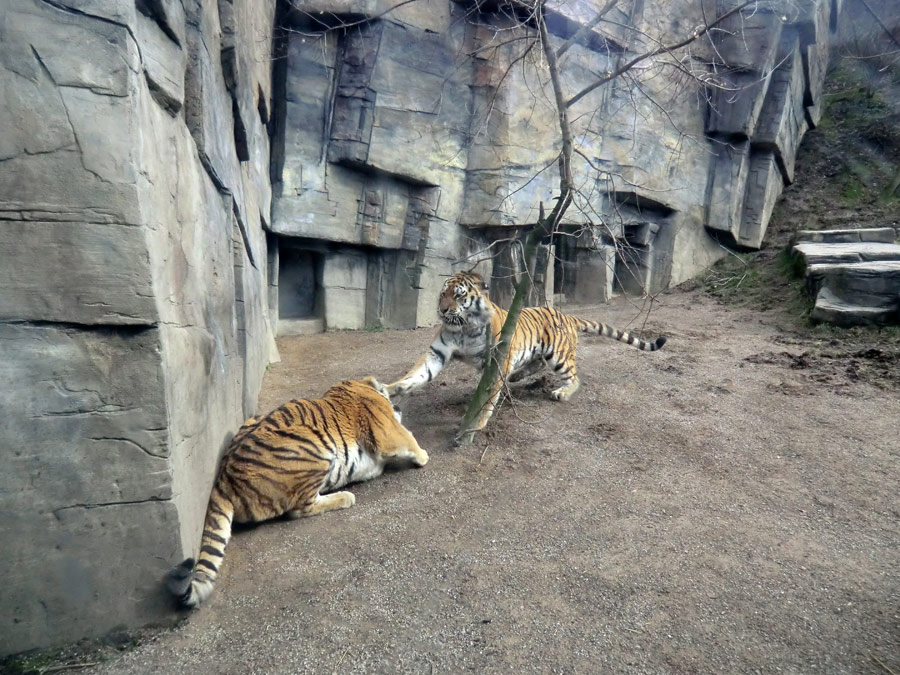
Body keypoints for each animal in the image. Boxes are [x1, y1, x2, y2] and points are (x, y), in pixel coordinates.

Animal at [168, 378, 428, 608]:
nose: (397, 404)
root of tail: (223, 477)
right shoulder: (388, 432)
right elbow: (408, 438)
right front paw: (424, 456)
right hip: (315, 450)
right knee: (299, 509)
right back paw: (345, 497)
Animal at [386, 272, 668, 436]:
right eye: (442, 293)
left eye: (458, 295)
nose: (443, 310)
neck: (464, 326)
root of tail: (568, 315)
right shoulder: (438, 352)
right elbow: (416, 374)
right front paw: (391, 389)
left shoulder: (497, 361)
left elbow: (488, 399)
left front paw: (476, 425)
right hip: (537, 352)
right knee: (536, 365)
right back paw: (517, 377)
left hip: (558, 355)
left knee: (574, 377)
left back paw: (561, 392)